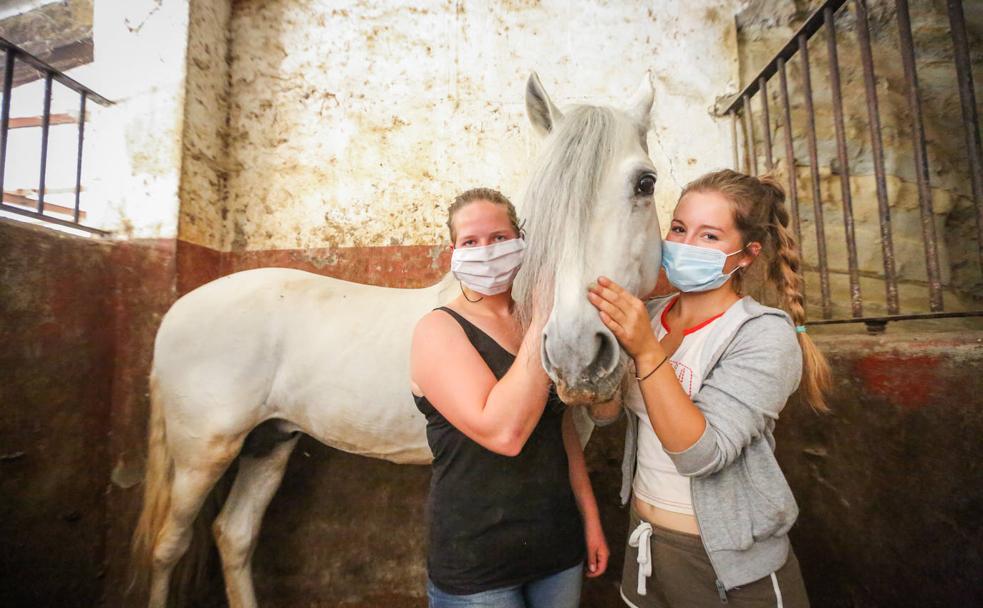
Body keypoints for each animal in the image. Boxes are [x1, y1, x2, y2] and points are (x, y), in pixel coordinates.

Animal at [132, 72, 662, 608]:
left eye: (646, 183)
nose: (577, 354)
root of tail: (178, 309)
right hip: (202, 454)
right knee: (169, 546)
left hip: (269, 442)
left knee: (234, 533)